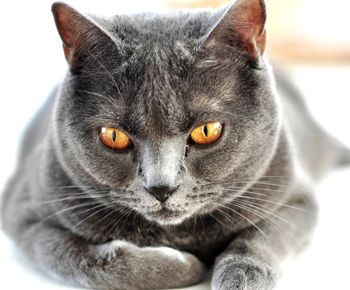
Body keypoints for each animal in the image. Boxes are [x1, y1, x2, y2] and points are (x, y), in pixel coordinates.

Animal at [1, 0, 348, 288]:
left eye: (207, 131)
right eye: (113, 136)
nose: (161, 187)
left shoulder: (296, 197)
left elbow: (261, 237)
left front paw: (242, 277)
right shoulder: (24, 213)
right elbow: (82, 259)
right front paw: (185, 265)